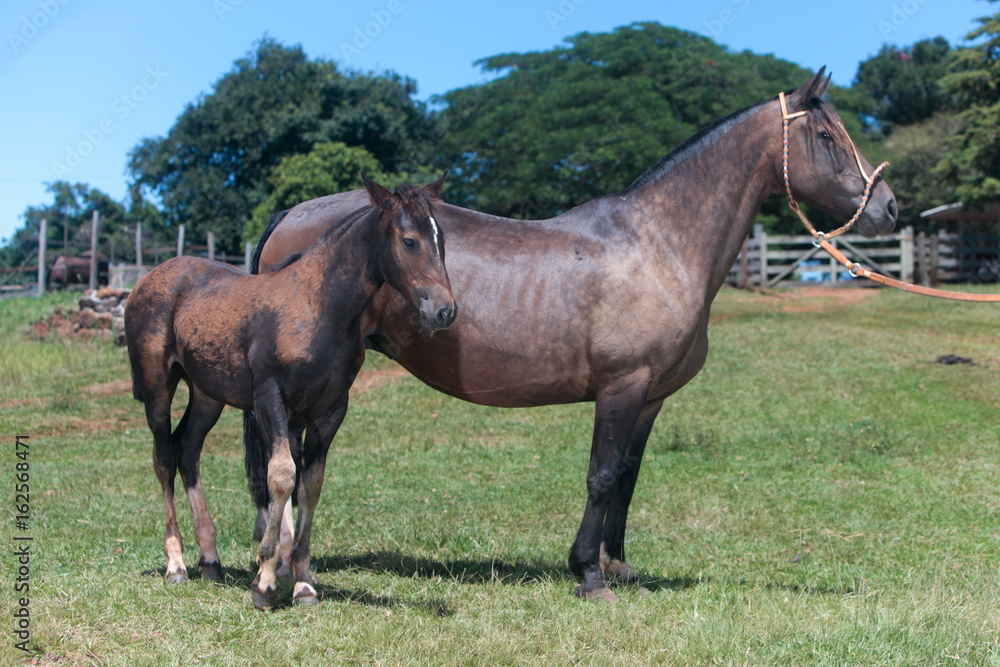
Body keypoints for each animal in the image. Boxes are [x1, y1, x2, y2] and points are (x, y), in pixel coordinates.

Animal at [125, 173, 456, 609]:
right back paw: (176, 564)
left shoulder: (328, 410)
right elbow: (281, 475)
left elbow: (310, 486)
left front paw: (302, 583)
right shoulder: (270, 399)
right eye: (410, 240)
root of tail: (147, 278)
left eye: (441, 239)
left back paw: (210, 560)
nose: (445, 311)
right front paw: (264, 583)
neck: (319, 307)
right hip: (157, 387)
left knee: (188, 449)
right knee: (163, 456)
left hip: (207, 393)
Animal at [245, 70, 898, 600]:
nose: (887, 207)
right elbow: (601, 475)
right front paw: (587, 572)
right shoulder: (621, 386)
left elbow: (627, 477)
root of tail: (288, 217)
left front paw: (618, 566)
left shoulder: (650, 398)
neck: (659, 244)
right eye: (827, 137)